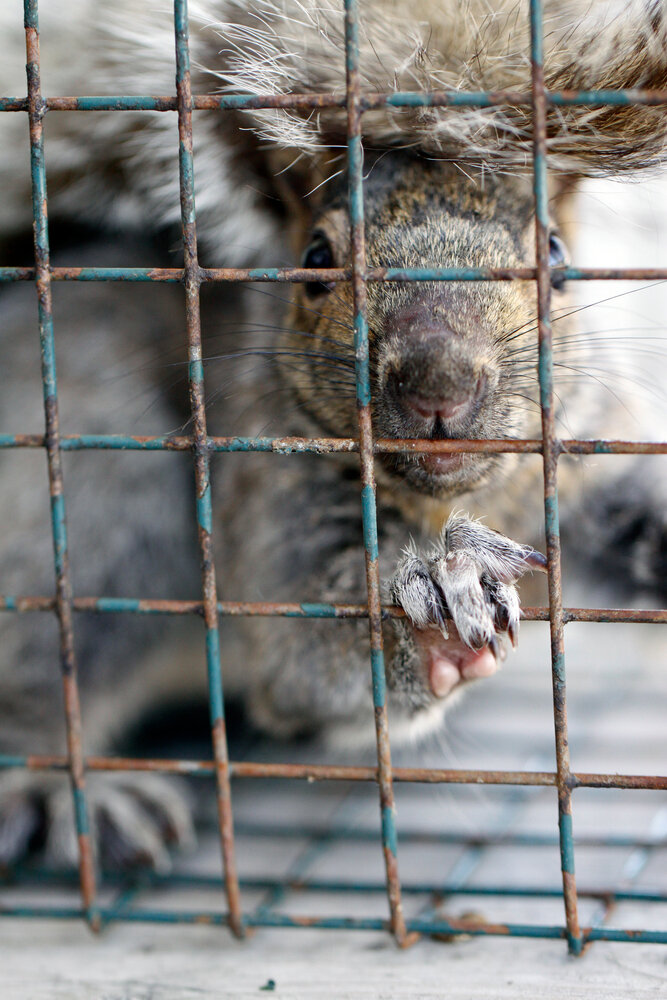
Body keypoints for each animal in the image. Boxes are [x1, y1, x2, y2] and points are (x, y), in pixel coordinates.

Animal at [0, 0, 666, 869]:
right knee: (46, 674)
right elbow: (305, 662)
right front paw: (437, 615)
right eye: (315, 260)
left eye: (554, 256)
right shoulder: (267, 487)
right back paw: (71, 789)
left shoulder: (590, 458)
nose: (439, 384)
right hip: (105, 503)